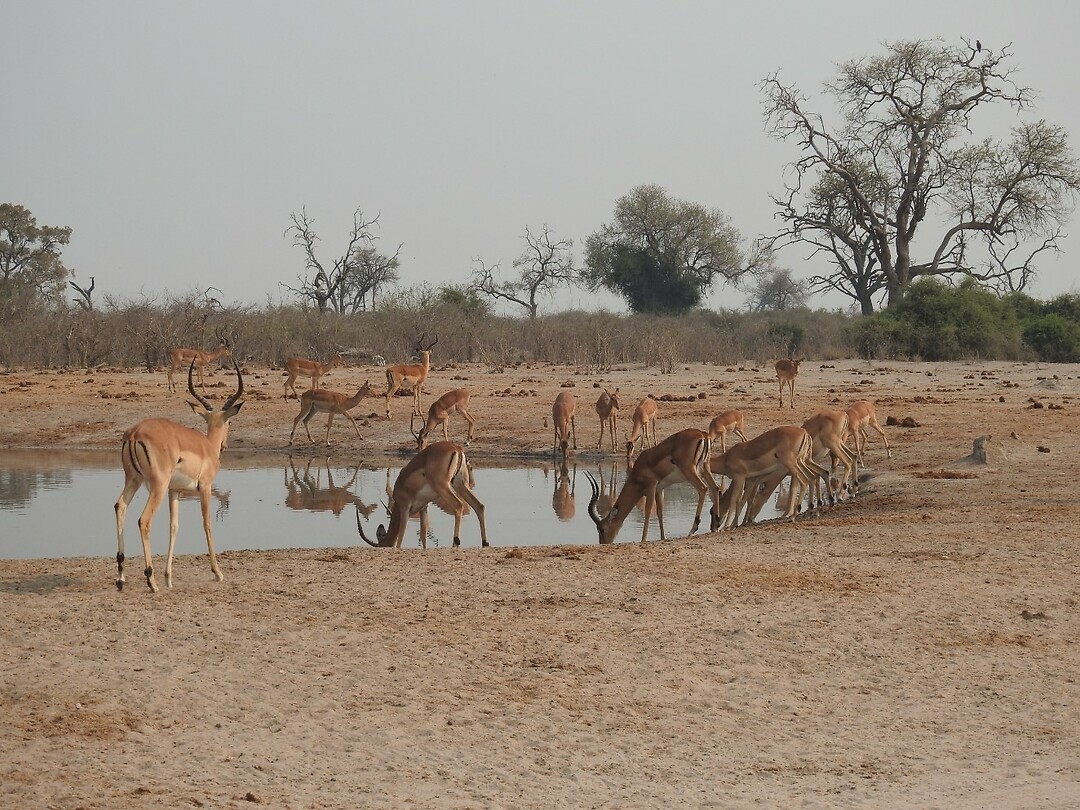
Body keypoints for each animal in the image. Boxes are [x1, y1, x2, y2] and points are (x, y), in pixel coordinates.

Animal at [114, 358, 245, 592]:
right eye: (229, 422)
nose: (225, 445)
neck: (206, 447)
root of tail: (135, 433)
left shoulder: (174, 491)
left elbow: (174, 526)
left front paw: (169, 577)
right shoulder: (205, 487)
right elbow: (207, 523)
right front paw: (217, 572)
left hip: (133, 479)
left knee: (120, 507)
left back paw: (121, 578)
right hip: (157, 485)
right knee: (143, 520)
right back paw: (151, 581)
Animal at [356, 441, 488, 548]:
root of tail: (456, 448)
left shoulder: (405, 508)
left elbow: (400, 538)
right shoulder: (424, 508)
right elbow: (423, 536)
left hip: (443, 487)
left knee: (458, 506)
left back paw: (455, 544)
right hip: (460, 484)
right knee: (479, 506)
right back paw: (485, 543)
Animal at [586, 428, 719, 544]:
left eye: (602, 529)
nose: (603, 543)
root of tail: (702, 434)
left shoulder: (651, 487)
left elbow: (648, 511)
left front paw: (643, 539)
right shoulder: (659, 490)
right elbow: (660, 512)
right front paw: (663, 537)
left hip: (690, 470)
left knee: (703, 489)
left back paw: (692, 530)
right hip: (705, 467)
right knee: (715, 488)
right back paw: (716, 525)